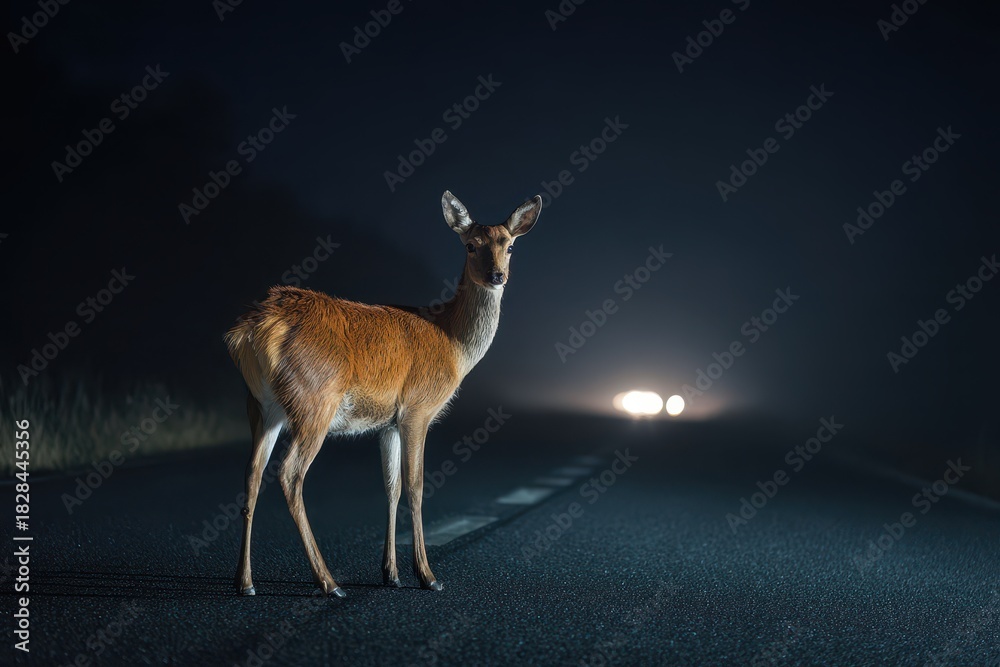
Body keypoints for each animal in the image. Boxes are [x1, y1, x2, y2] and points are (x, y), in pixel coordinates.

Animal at [225, 191, 542, 597]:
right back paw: (329, 582)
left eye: (510, 246)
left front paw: (390, 573)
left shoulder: (388, 423)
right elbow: (416, 486)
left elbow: (391, 487)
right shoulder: (417, 409)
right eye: (471, 245)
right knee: (289, 474)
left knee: (251, 474)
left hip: (262, 405)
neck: (452, 344)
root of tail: (252, 329)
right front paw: (427, 575)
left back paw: (245, 581)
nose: (496, 275)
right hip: (314, 400)